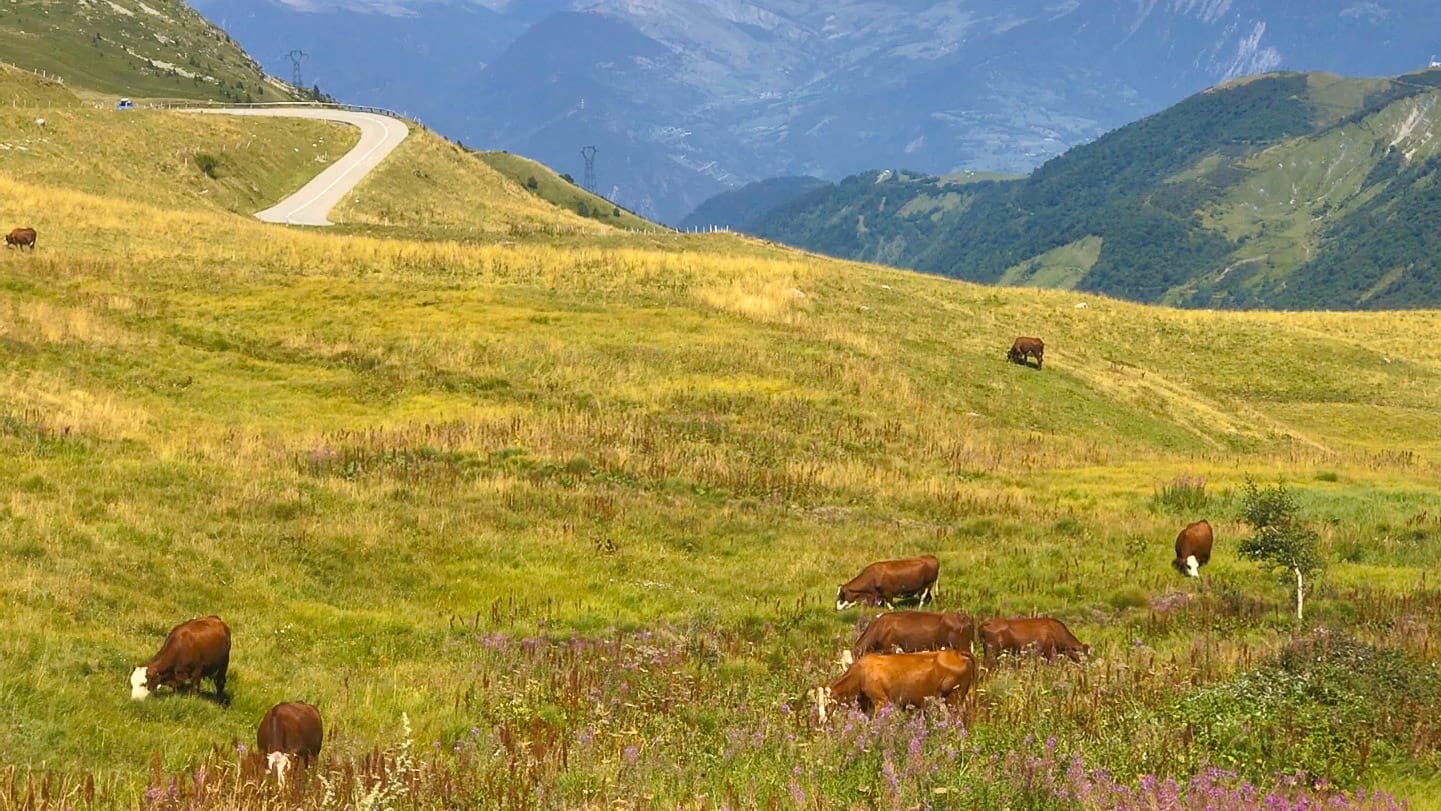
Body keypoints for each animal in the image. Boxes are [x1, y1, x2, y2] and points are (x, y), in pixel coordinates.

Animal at [816, 649, 976, 722]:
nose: (821, 721)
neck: (860, 673)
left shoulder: (881, 700)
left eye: (827, 705)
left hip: (954, 698)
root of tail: (958, 653)